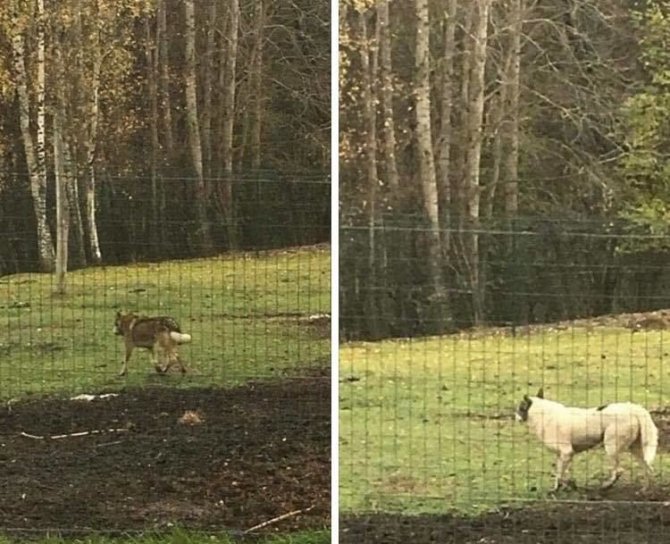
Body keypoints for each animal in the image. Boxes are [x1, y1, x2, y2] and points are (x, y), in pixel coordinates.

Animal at [516, 386, 660, 492]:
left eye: (520, 408)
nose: (514, 416)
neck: (542, 414)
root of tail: (632, 407)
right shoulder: (562, 455)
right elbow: (559, 474)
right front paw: (561, 487)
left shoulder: (567, 453)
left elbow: (560, 475)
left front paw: (566, 486)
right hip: (636, 450)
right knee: (648, 469)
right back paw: (645, 490)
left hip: (611, 447)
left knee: (619, 471)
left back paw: (607, 485)